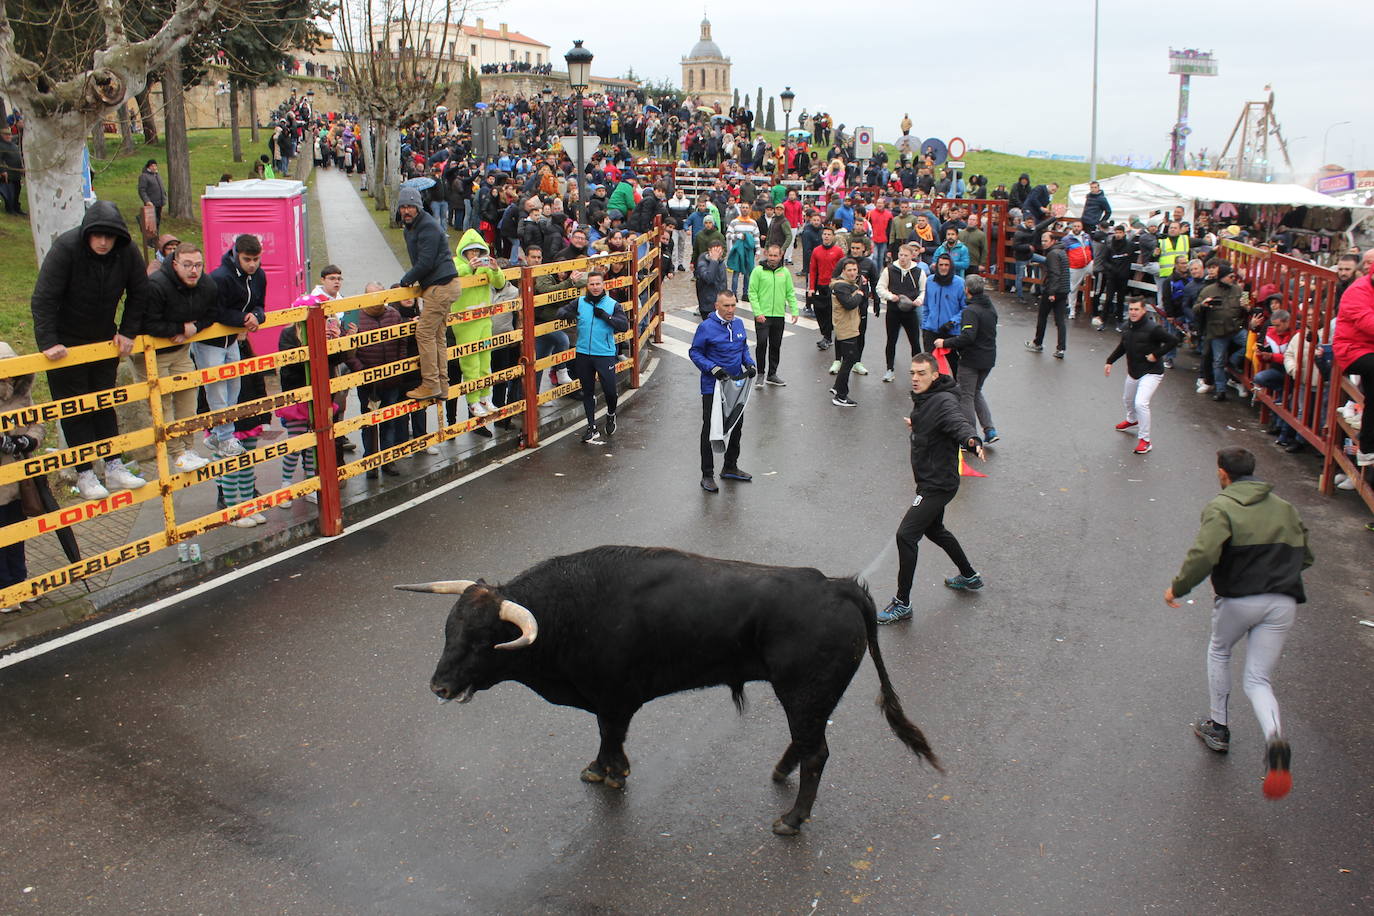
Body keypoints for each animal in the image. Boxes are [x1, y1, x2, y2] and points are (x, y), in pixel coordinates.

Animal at [392, 549, 939, 834]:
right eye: (448, 630)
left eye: (484, 639)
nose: (439, 686)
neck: (570, 610)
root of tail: (836, 585)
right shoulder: (606, 700)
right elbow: (603, 737)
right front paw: (598, 769)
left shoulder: (614, 700)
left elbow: (611, 737)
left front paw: (611, 773)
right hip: (807, 696)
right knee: (806, 744)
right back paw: (781, 774)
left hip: (804, 692)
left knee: (817, 753)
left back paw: (793, 818)